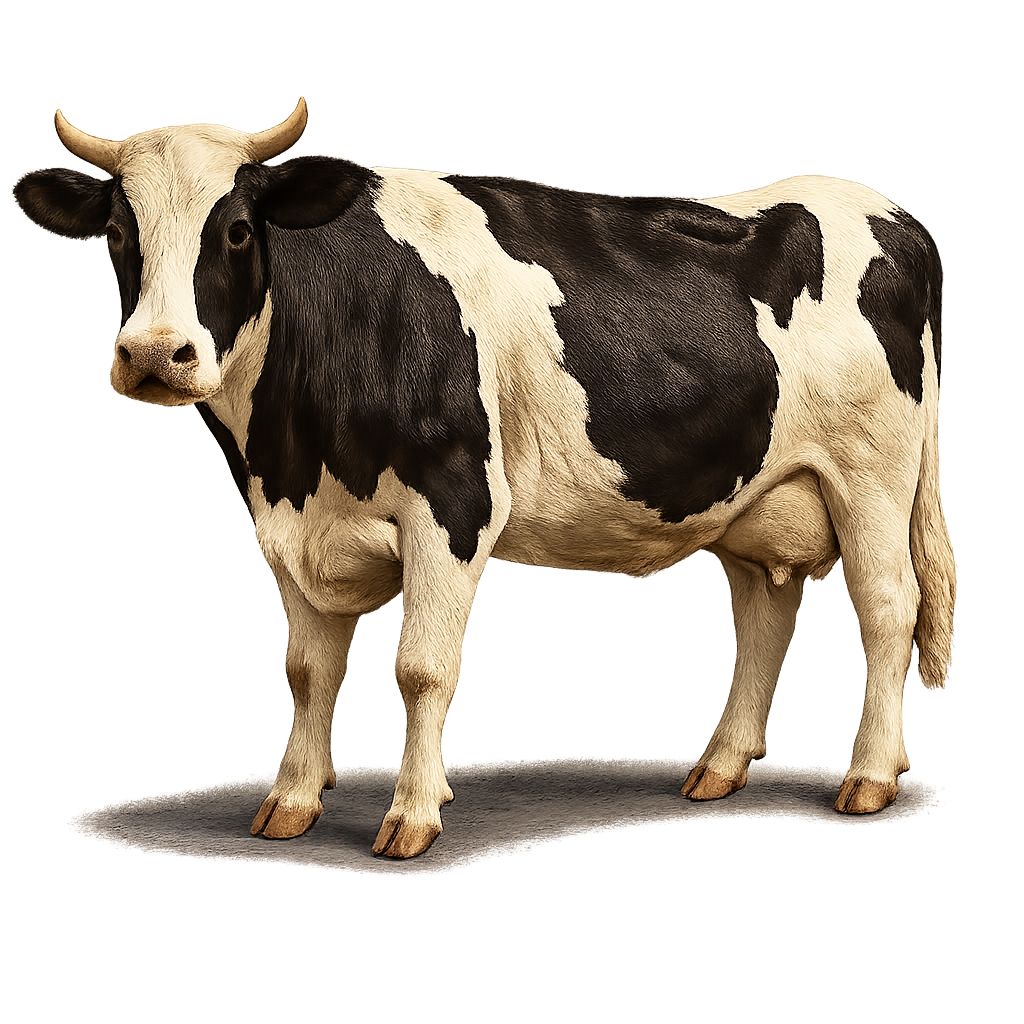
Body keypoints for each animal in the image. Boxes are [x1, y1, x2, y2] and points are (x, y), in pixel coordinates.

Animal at [15, 98, 954, 859]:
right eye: (117, 233)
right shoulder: (288, 528)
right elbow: (306, 672)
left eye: (239, 229)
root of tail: (887, 210)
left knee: (886, 609)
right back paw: (720, 766)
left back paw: (869, 778)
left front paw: (411, 815)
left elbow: (420, 670)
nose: (154, 354)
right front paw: (290, 801)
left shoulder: (453, 504)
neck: (290, 449)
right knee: (766, 612)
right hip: (755, 494)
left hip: (873, 475)